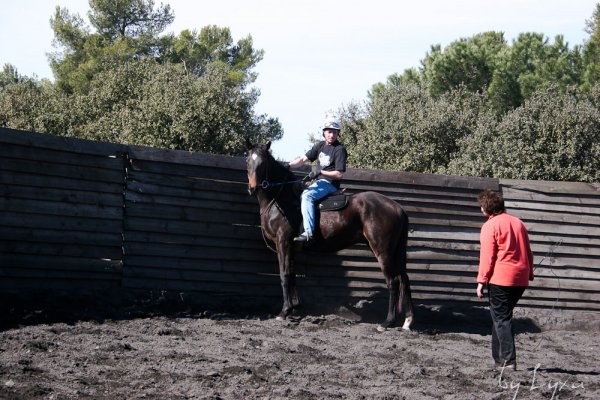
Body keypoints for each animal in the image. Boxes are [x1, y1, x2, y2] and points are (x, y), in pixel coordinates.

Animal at [246, 141, 414, 332]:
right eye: (248, 161)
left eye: (263, 163)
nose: (253, 188)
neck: (282, 199)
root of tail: (397, 208)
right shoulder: (291, 247)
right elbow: (293, 274)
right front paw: (295, 307)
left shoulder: (283, 243)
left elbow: (284, 275)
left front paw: (284, 311)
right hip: (395, 251)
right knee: (404, 278)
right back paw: (407, 321)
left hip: (382, 251)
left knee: (393, 282)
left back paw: (387, 322)